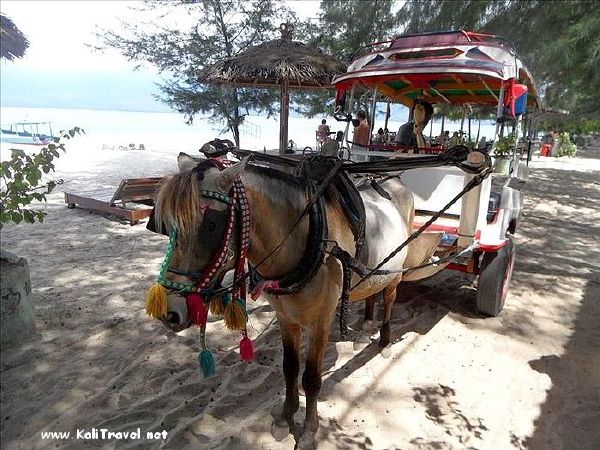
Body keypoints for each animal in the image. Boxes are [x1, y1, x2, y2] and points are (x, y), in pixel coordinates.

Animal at [149, 153, 426, 448]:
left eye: (211, 225)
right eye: (168, 227)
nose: (169, 312)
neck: (306, 238)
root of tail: (396, 180)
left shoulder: (321, 322)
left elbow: (312, 378)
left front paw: (309, 431)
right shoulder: (286, 319)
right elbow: (290, 368)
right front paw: (285, 417)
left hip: (395, 273)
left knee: (389, 298)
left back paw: (384, 340)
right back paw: (364, 328)